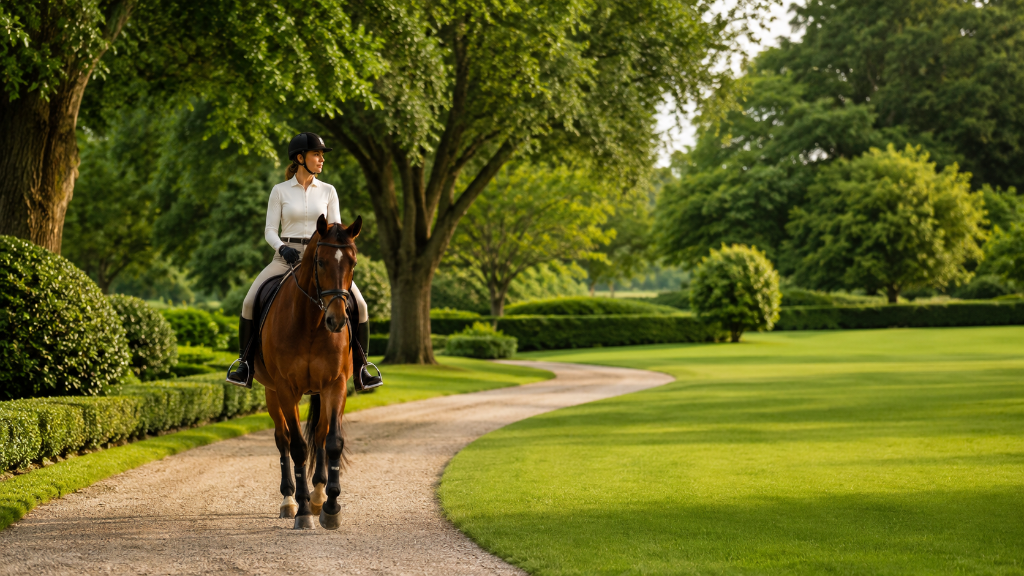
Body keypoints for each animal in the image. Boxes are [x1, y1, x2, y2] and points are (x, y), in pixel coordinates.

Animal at [254, 214, 361, 530]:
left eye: (352, 262)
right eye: (321, 262)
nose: (337, 320)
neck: (312, 324)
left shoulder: (335, 385)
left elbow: (333, 442)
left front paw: (330, 507)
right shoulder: (286, 389)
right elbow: (298, 447)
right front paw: (302, 511)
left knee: (321, 433)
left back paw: (317, 495)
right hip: (271, 392)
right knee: (283, 439)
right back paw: (290, 500)